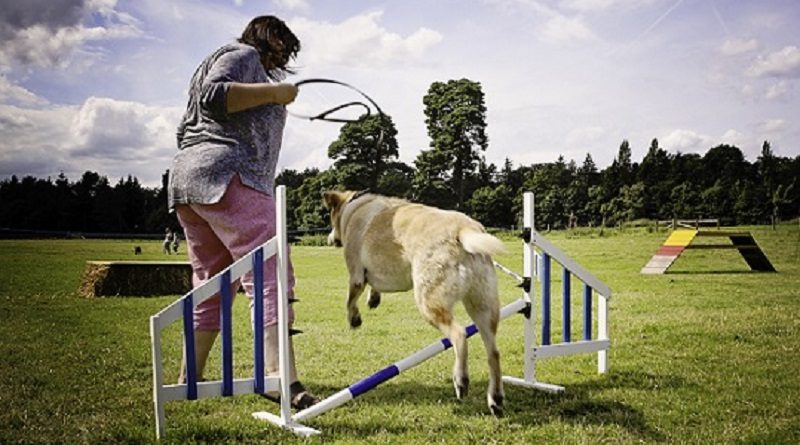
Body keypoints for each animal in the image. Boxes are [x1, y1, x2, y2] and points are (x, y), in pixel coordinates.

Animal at [324, 191, 506, 416]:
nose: (329, 238)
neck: (353, 208)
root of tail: (464, 230)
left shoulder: (356, 274)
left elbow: (350, 299)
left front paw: (354, 318)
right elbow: (374, 286)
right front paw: (373, 298)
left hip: (429, 303)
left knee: (460, 334)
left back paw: (461, 381)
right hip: (483, 306)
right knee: (493, 352)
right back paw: (495, 399)